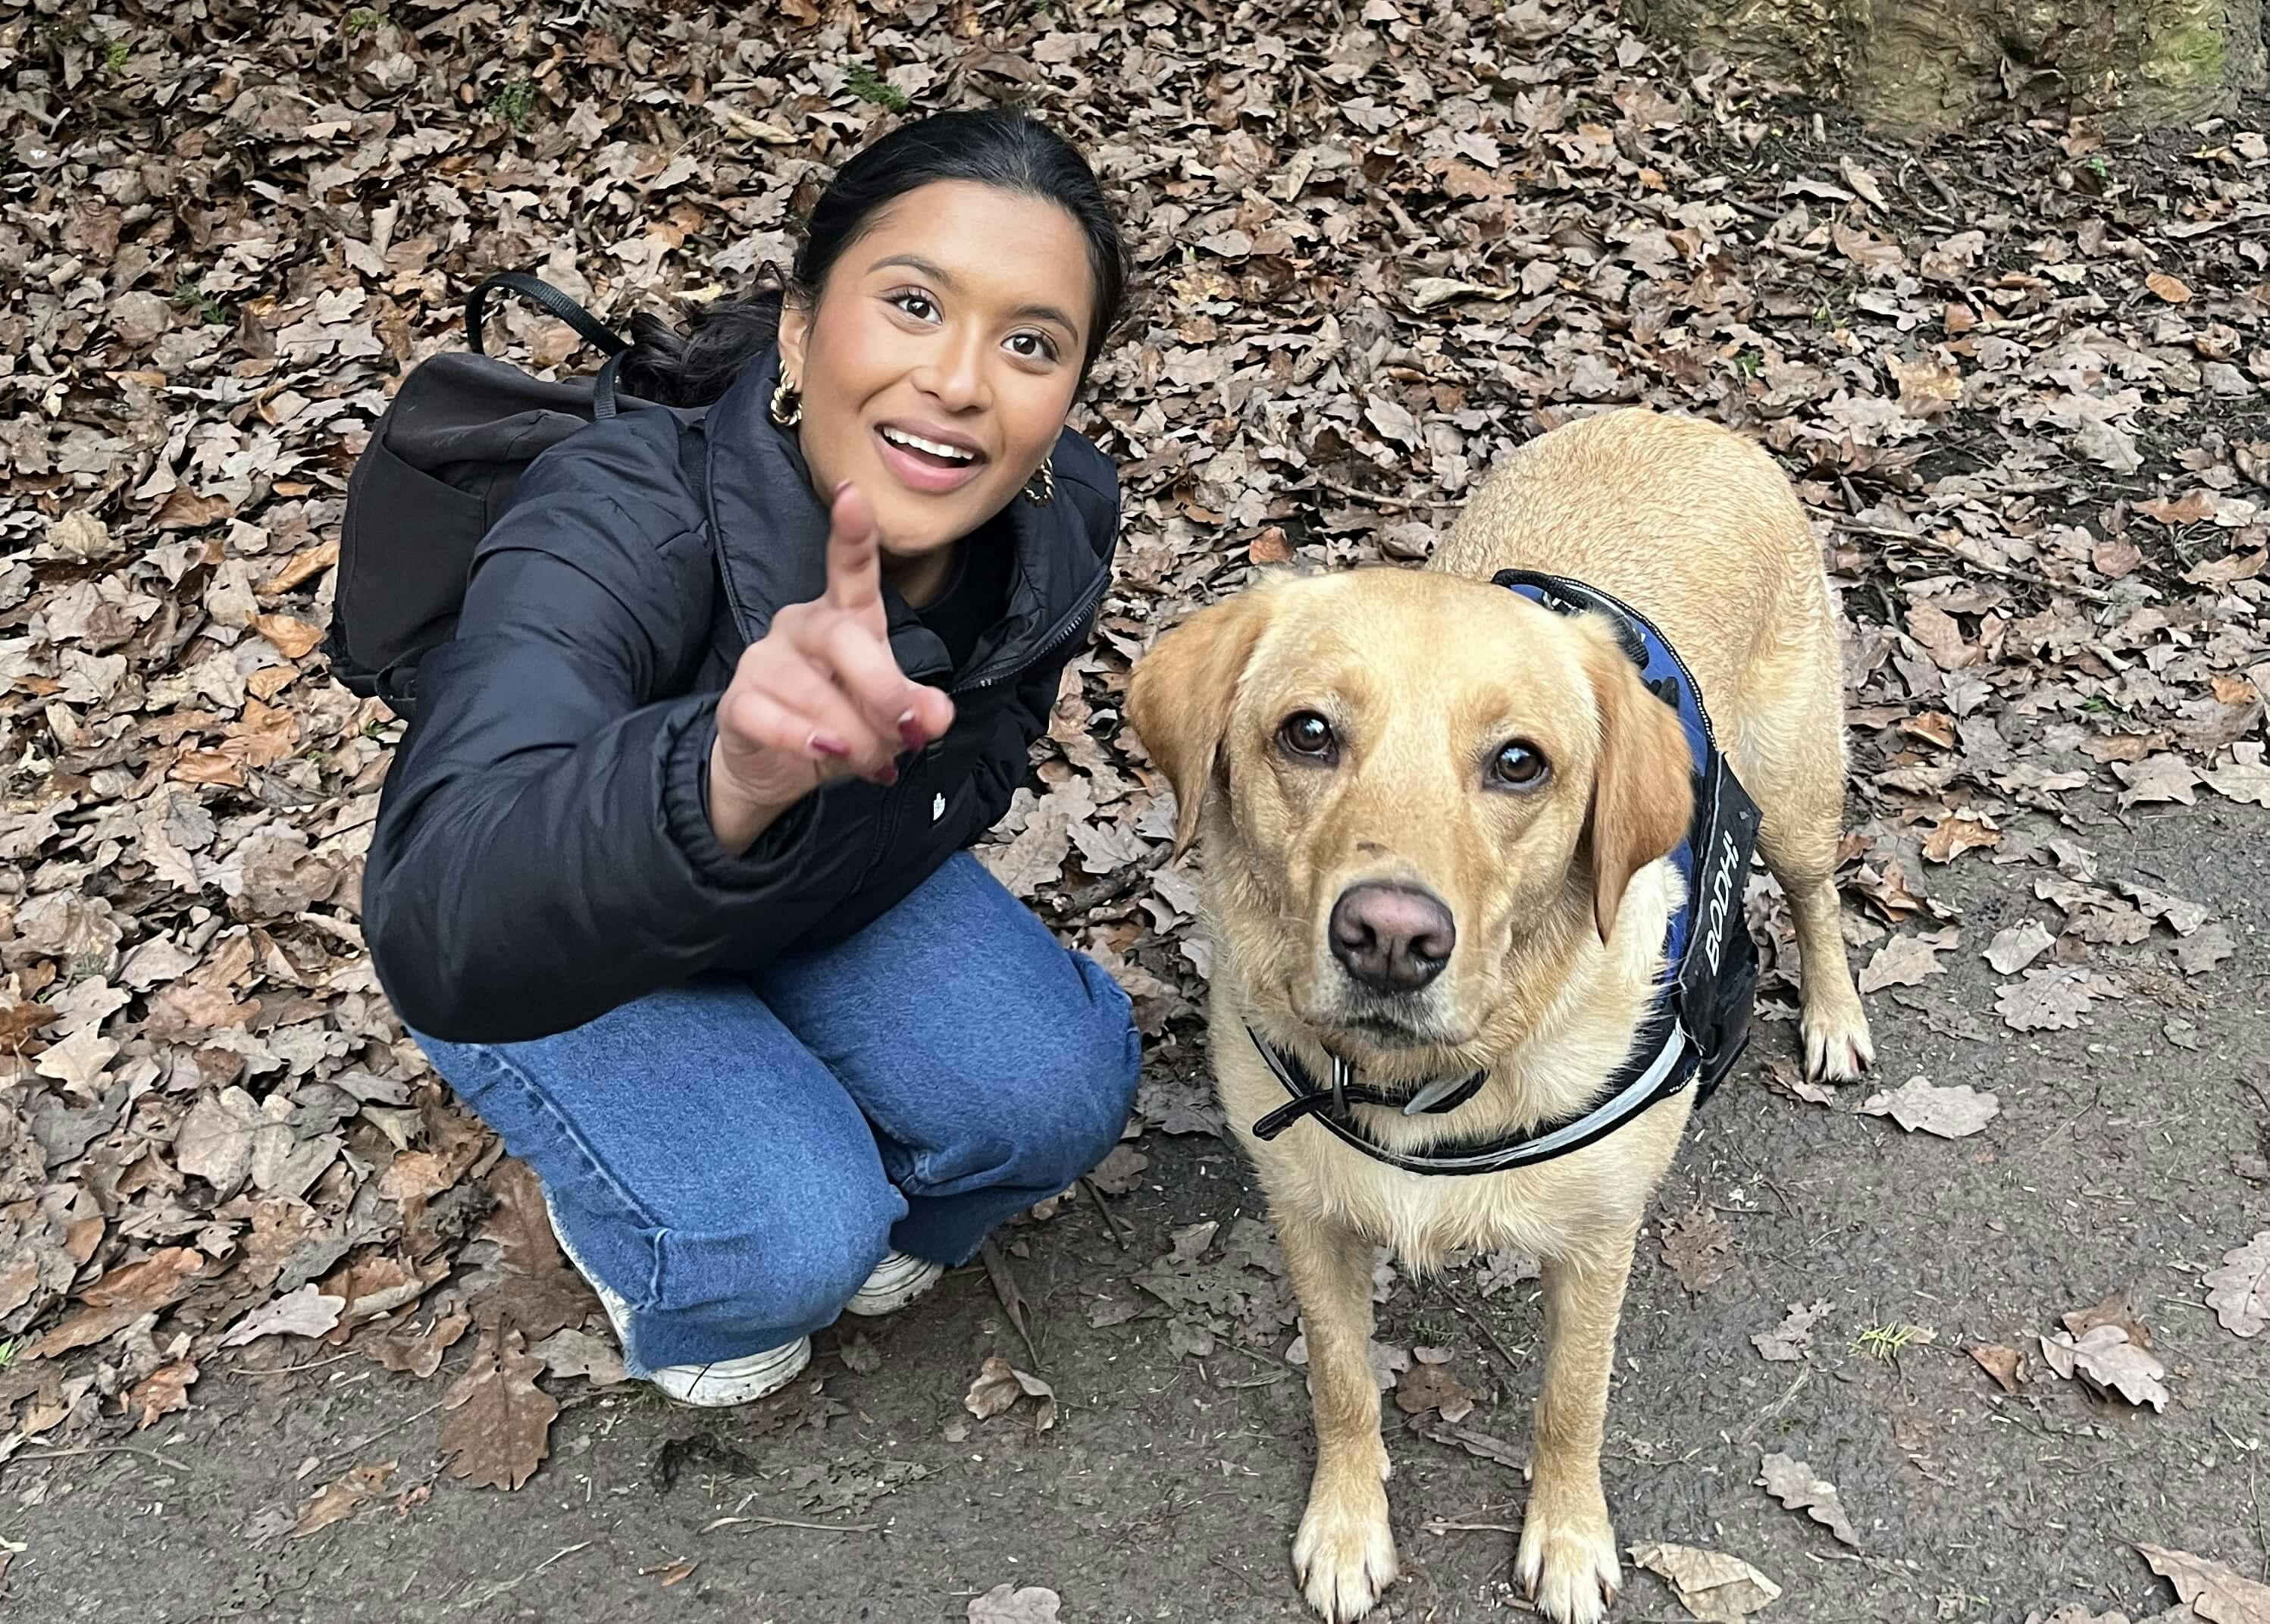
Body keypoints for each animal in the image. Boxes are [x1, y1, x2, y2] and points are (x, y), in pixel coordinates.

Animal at [1121, 408, 1879, 1624]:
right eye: (1306, 733)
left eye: (1519, 762)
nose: (1388, 936)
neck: (1431, 1084)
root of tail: (1678, 417)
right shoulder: (1308, 1217)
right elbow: (1341, 1382)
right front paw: (1348, 1525)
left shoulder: (1597, 1242)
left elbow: (1571, 1403)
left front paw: (1567, 1538)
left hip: (1797, 794)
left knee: (1816, 890)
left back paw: (1834, 1013)